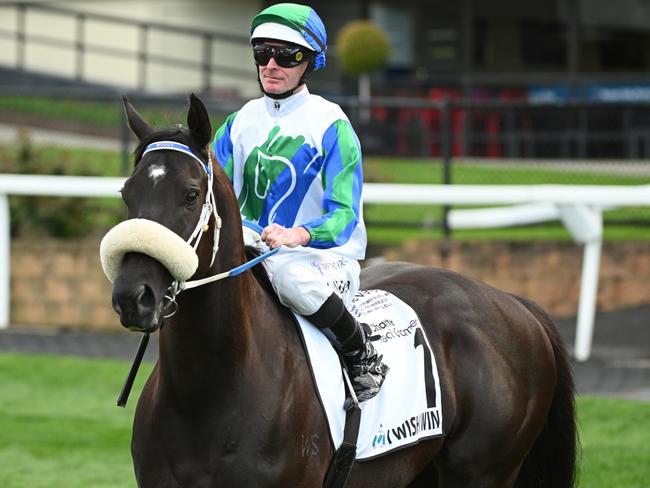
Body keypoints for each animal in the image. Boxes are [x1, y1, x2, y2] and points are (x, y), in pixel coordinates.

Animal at [107, 93, 576, 486]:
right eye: (127, 192)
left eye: (190, 195)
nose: (133, 296)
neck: (209, 393)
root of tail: (516, 304)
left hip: (484, 472)